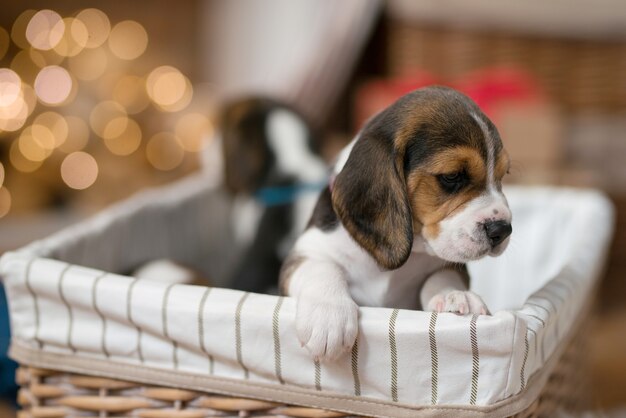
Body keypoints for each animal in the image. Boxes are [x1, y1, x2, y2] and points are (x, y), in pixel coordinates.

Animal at [280, 86, 512, 360]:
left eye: (503, 175)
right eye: (452, 176)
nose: (502, 229)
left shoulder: (451, 265)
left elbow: (441, 275)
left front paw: (456, 296)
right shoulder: (307, 251)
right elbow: (322, 267)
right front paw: (327, 315)